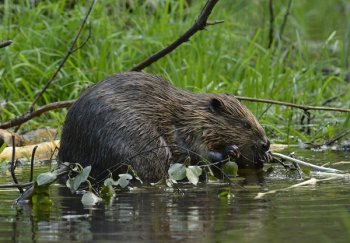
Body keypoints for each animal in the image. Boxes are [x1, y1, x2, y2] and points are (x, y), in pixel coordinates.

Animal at [58, 71, 270, 183]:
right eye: (245, 125)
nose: (266, 143)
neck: (190, 114)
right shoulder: (186, 131)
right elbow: (198, 154)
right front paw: (231, 150)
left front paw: (266, 157)